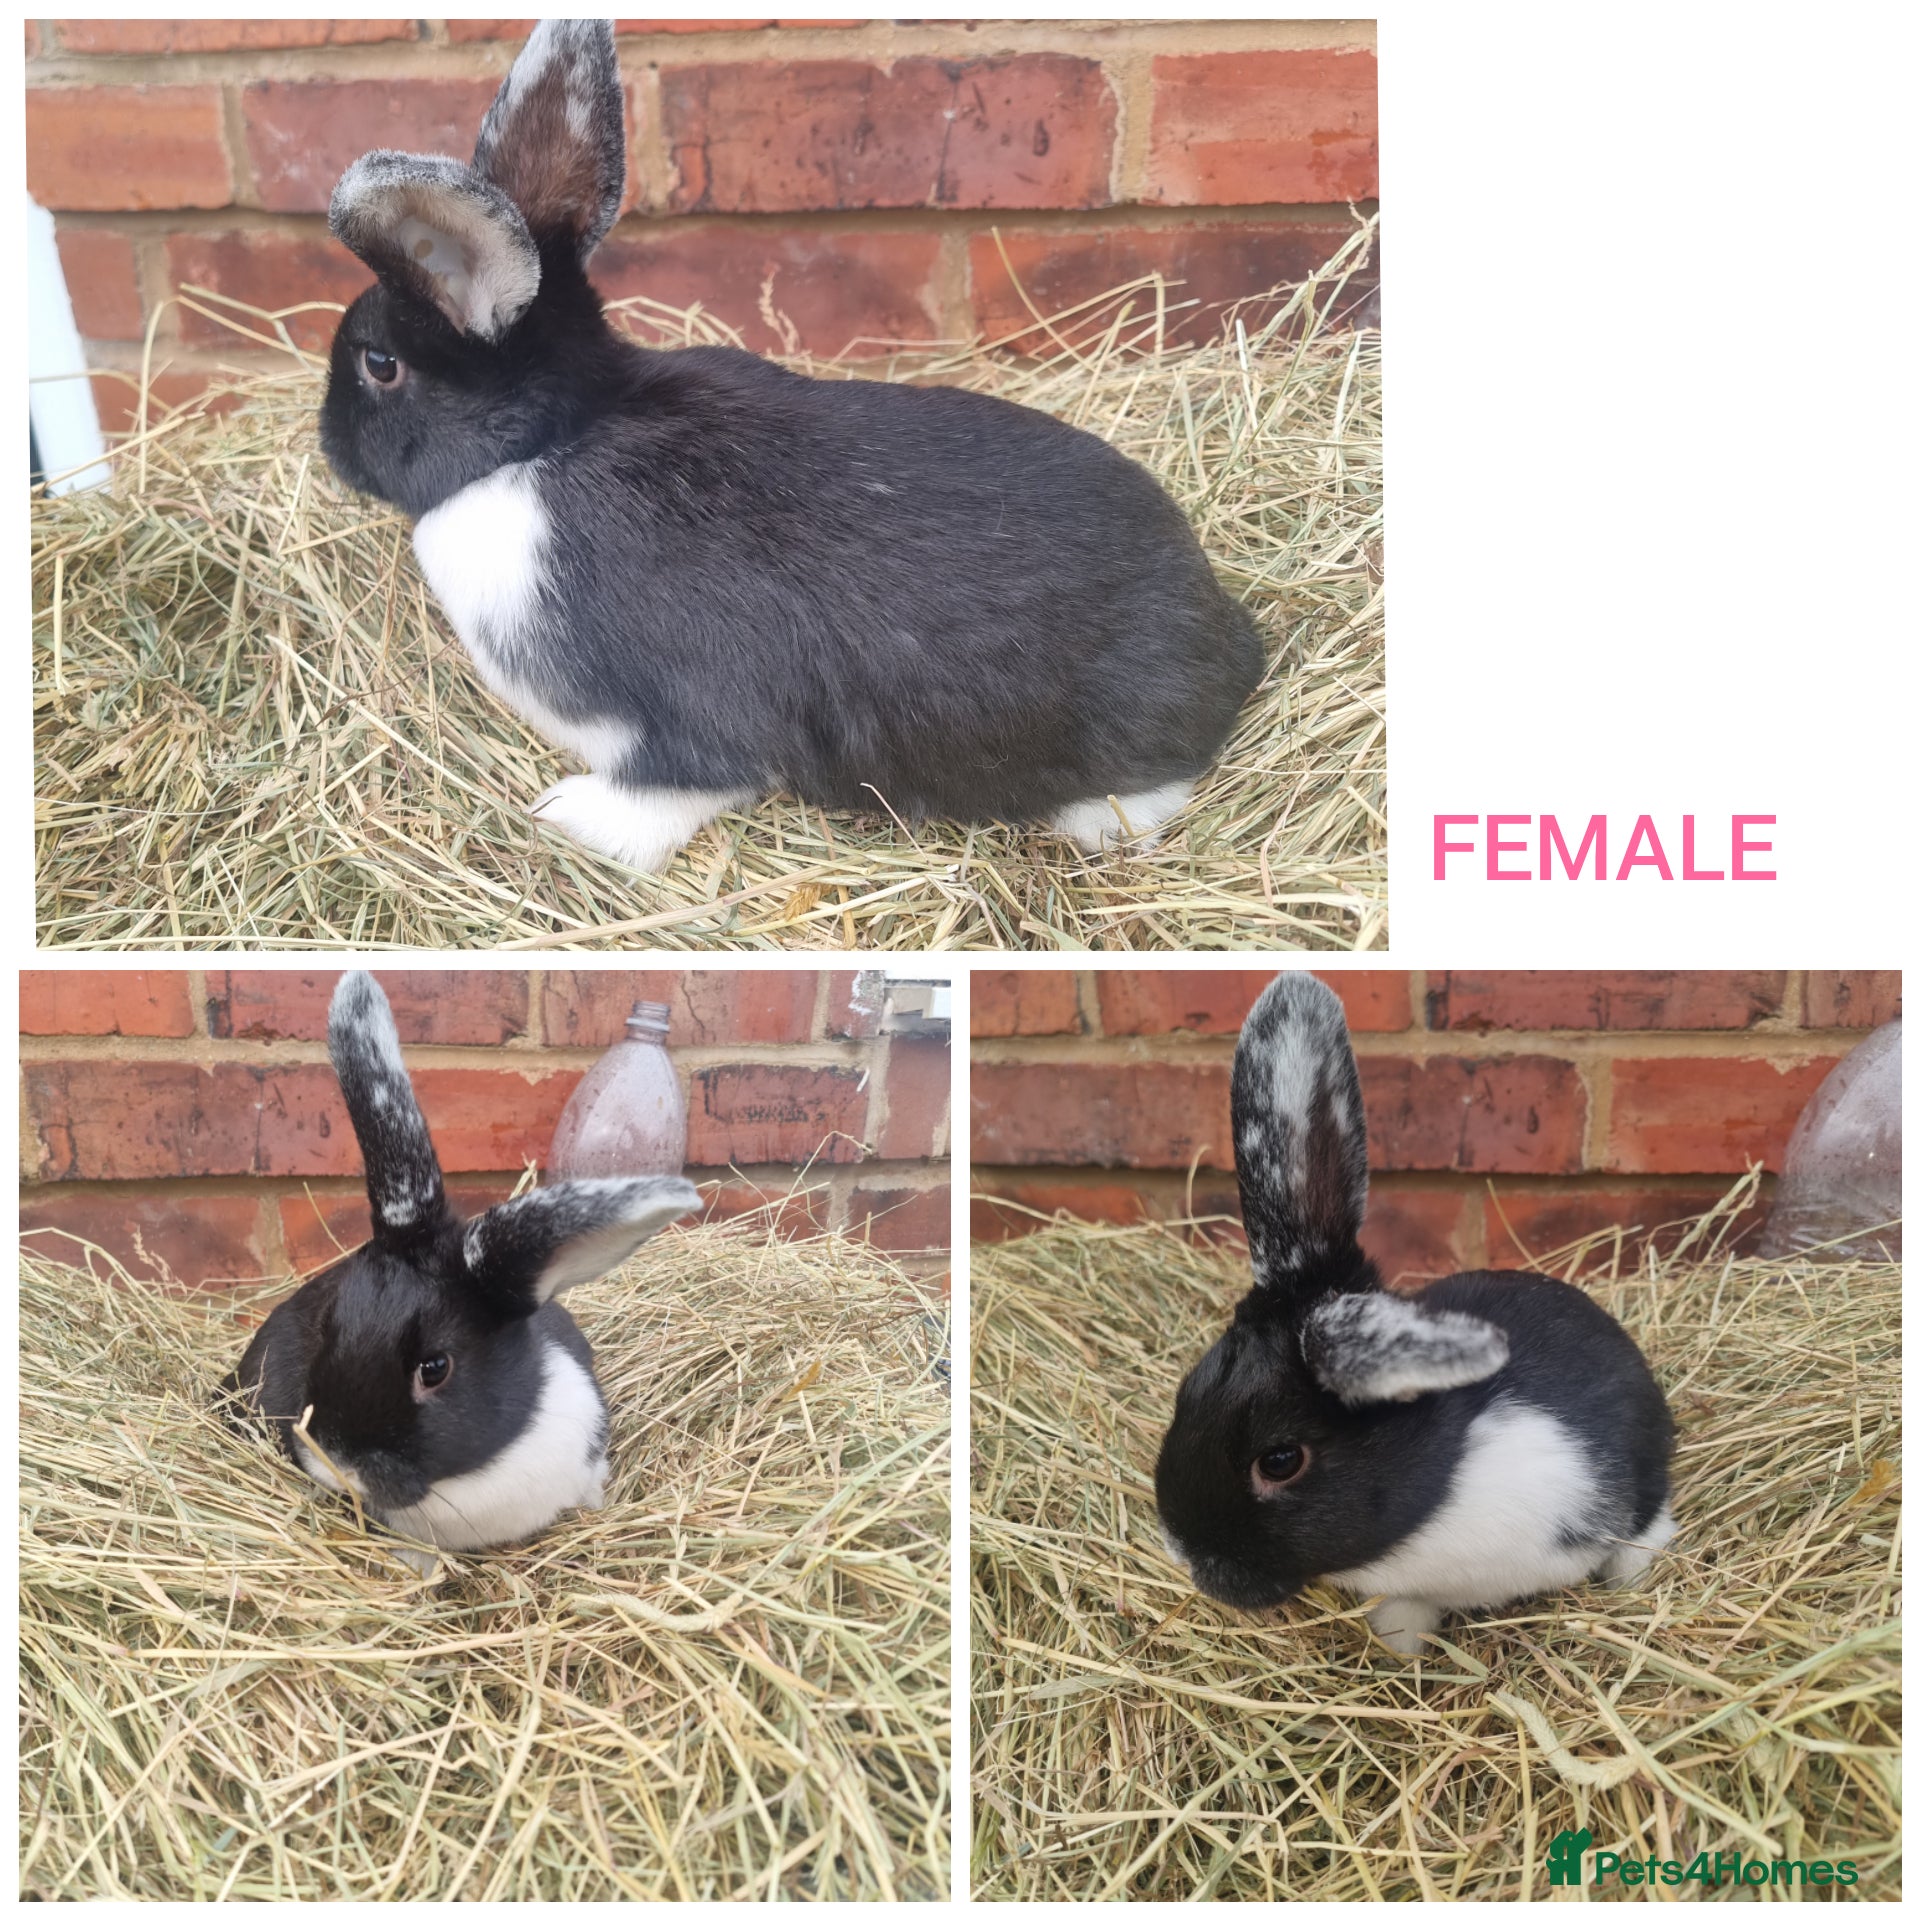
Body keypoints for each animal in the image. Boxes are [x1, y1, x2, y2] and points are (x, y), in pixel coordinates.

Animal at [316, 19, 1264, 875]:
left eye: (379, 365)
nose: (327, 444)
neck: (551, 440)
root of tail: (1229, 641)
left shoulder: (685, 720)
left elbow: (683, 780)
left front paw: (570, 818)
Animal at [1154, 972, 1677, 1656]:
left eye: (1280, 1461)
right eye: (1186, 1391)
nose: (1183, 1551)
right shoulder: (1408, 1594)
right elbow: (1403, 1622)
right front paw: (1402, 1662)